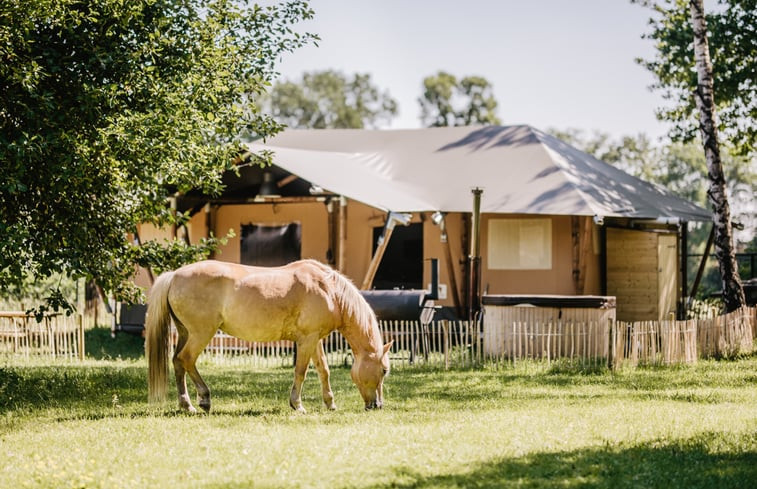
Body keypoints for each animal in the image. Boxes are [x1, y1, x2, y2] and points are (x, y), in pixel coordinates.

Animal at [145, 260, 392, 412]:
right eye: (384, 370)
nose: (378, 405)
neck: (328, 289)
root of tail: (174, 275)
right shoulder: (307, 340)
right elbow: (301, 372)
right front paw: (297, 405)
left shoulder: (315, 340)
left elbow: (324, 370)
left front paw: (330, 404)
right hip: (201, 334)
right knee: (186, 360)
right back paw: (203, 400)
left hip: (185, 333)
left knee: (177, 362)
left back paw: (186, 404)